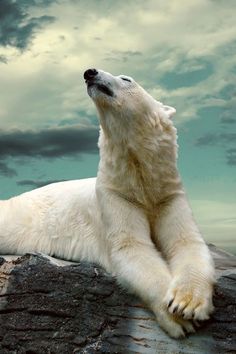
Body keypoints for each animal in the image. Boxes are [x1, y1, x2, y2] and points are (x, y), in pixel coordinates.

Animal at [0, 69, 215, 338]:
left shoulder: (168, 194)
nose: (89, 72)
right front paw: (177, 319)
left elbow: (186, 241)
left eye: (127, 79)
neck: (140, 180)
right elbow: (131, 248)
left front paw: (187, 304)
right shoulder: (115, 195)